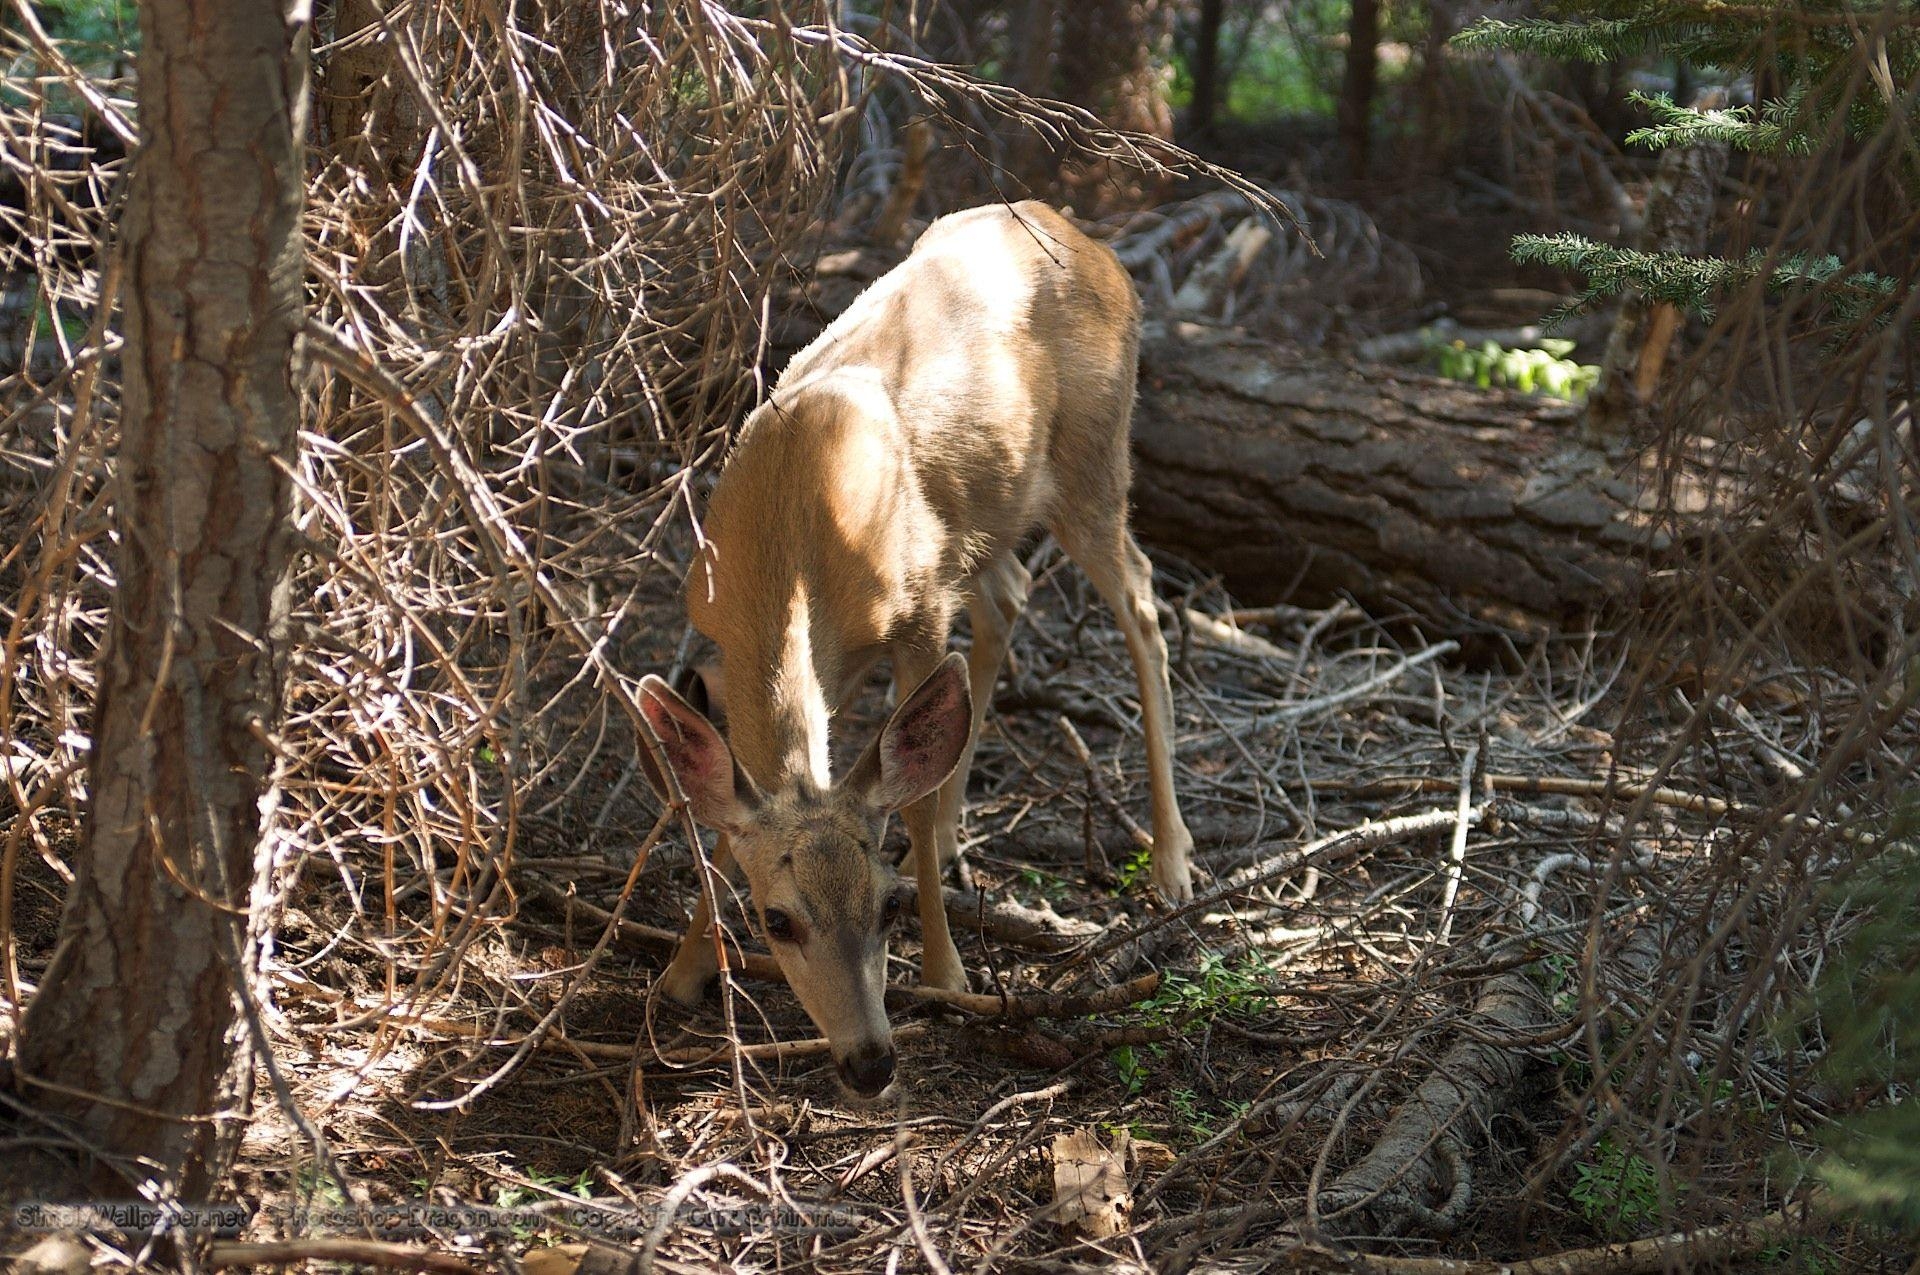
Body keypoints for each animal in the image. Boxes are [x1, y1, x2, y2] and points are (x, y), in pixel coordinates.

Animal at [637, 199, 1190, 1098]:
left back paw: (1173, 862)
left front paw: (947, 973)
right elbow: (735, 800)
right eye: (776, 918)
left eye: (887, 905)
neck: (795, 532)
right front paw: (681, 975)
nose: (869, 1061)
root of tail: (1088, 240)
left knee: (1142, 603)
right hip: (990, 512)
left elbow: (910, 797)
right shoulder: (770, 642)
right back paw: (970, 834)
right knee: (1012, 598)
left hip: (1093, 460)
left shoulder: (921, 604)